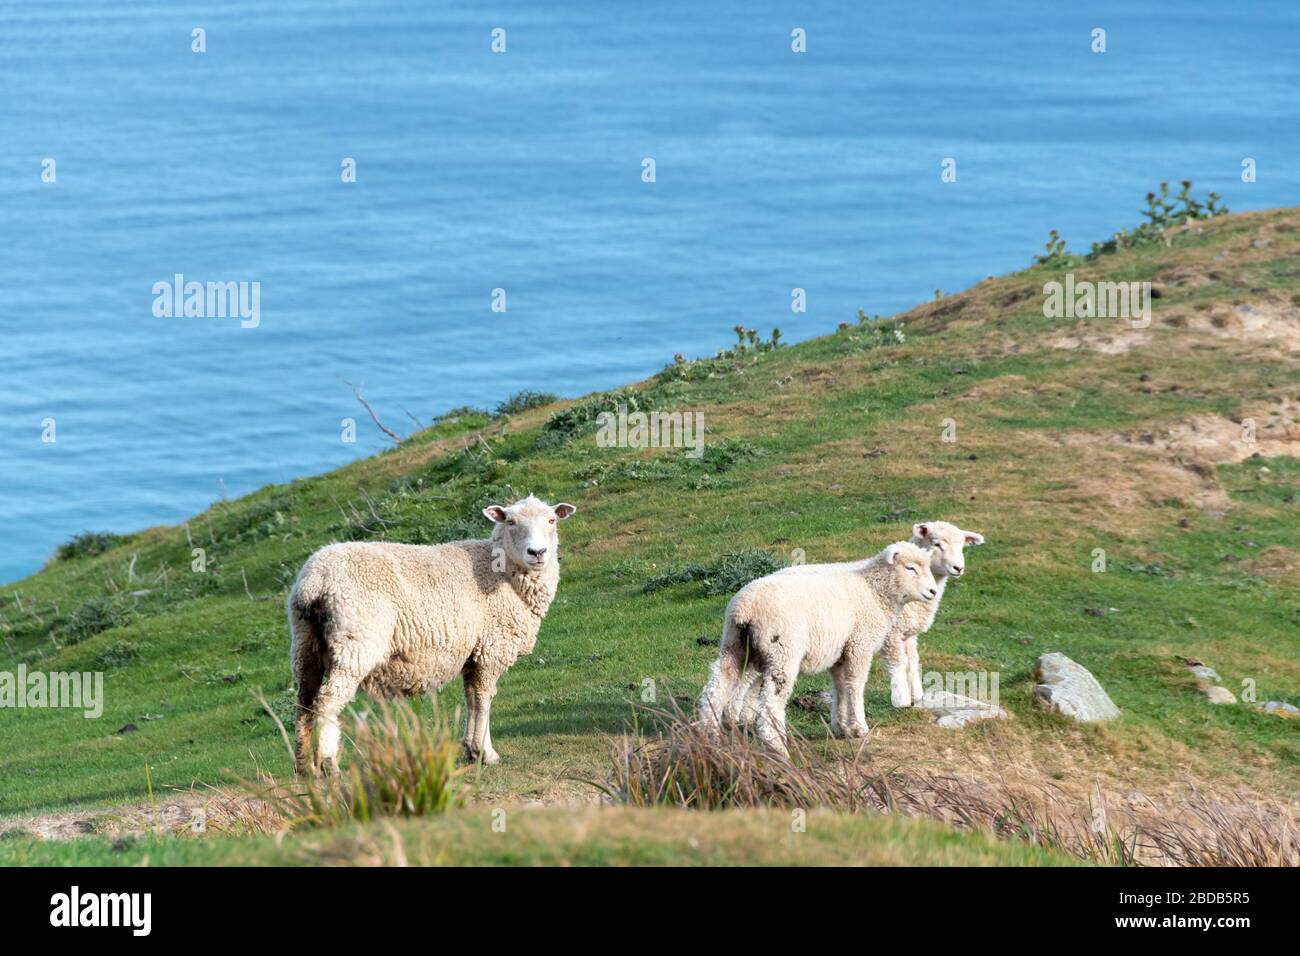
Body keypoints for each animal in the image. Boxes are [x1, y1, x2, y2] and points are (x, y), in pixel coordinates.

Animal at [287, 496, 577, 775]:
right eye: (511, 522)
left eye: (552, 520)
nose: (537, 552)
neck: (501, 571)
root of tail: (315, 581)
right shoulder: (492, 648)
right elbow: (484, 698)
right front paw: (486, 752)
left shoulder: (472, 652)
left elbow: (471, 698)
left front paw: (471, 749)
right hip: (355, 643)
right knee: (328, 701)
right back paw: (328, 763)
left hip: (305, 644)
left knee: (304, 703)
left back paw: (303, 766)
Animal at [696, 546, 941, 754]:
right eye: (910, 568)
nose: (933, 591)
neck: (874, 591)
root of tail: (745, 610)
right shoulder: (859, 645)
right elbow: (855, 685)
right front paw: (859, 727)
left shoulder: (840, 652)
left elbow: (840, 687)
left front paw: (841, 726)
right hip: (782, 652)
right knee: (771, 703)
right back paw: (776, 745)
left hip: (734, 646)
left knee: (716, 687)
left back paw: (710, 735)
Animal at [883, 520, 982, 707]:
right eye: (937, 544)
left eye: (962, 546)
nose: (958, 568)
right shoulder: (892, 633)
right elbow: (898, 663)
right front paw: (901, 700)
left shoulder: (909, 634)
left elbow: (912, 662)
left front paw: (917, 696)